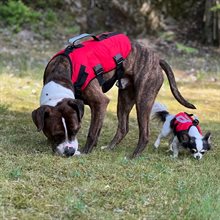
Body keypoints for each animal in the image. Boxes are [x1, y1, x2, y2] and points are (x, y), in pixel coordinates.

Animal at [31, 40, 196, 158]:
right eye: (56, 134)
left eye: (76, 130)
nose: (70, 152)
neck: (60, 75)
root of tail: (156, 59)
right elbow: (97, 128)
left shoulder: (100, 102)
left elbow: (92, 132)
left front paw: (85, 151)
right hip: (125, 99)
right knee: (123, 127)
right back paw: (110, 147)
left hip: (143, 99)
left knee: (145, 132)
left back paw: (133, 156)